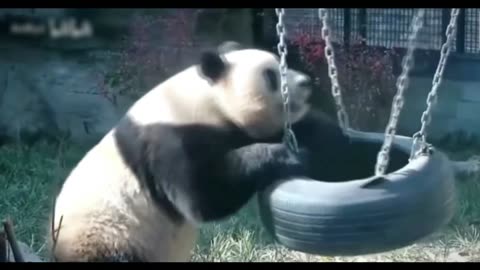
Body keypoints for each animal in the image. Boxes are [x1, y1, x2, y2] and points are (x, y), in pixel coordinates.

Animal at [49, 41, 316, 262]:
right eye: (271, 76)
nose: (306, 82)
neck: (206, 99)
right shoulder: (170, 141)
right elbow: (204, 197)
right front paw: (289, 153)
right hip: (108, 238)